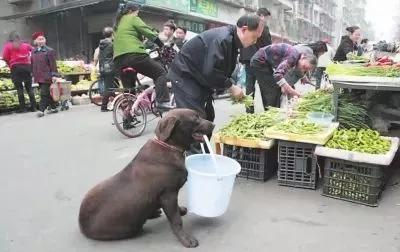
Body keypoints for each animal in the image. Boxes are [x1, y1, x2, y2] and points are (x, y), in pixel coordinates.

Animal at [79, 109, 214, 248]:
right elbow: (176, 220)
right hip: (130, 227)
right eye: (196, 119)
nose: (213, 125)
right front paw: (185, 238)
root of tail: (81, 225)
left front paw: (179, 210)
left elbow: (175, 211)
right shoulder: (168, 194)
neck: (170, 146)